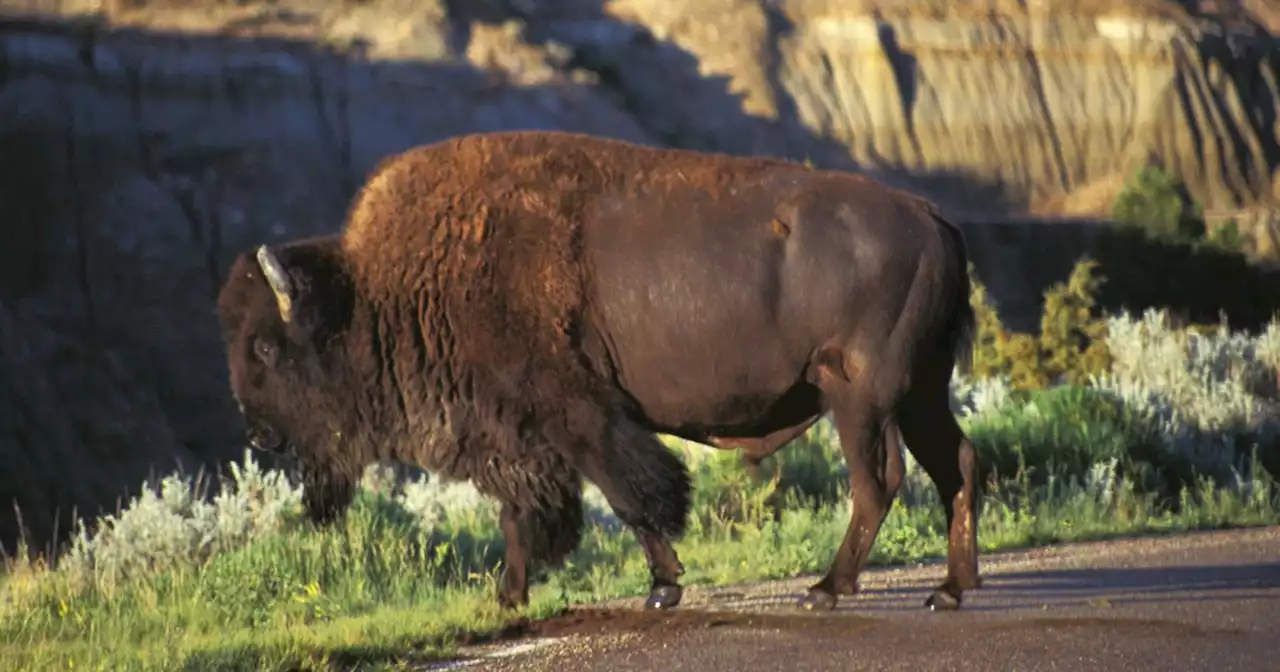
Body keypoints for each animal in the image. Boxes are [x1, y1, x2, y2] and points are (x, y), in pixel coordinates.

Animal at [217, 127, 977, 611]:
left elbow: (630, 496)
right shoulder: (522, 441)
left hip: (860, 398)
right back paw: (948, 590)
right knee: (957, 466)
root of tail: (931, 214)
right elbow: (529, 515)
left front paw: (662, 588)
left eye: (265, 347)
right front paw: (508, 597)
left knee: (878, 481)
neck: (376, 292)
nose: (258, 435)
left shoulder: (576, 417)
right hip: (921, 394)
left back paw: (826, 590)